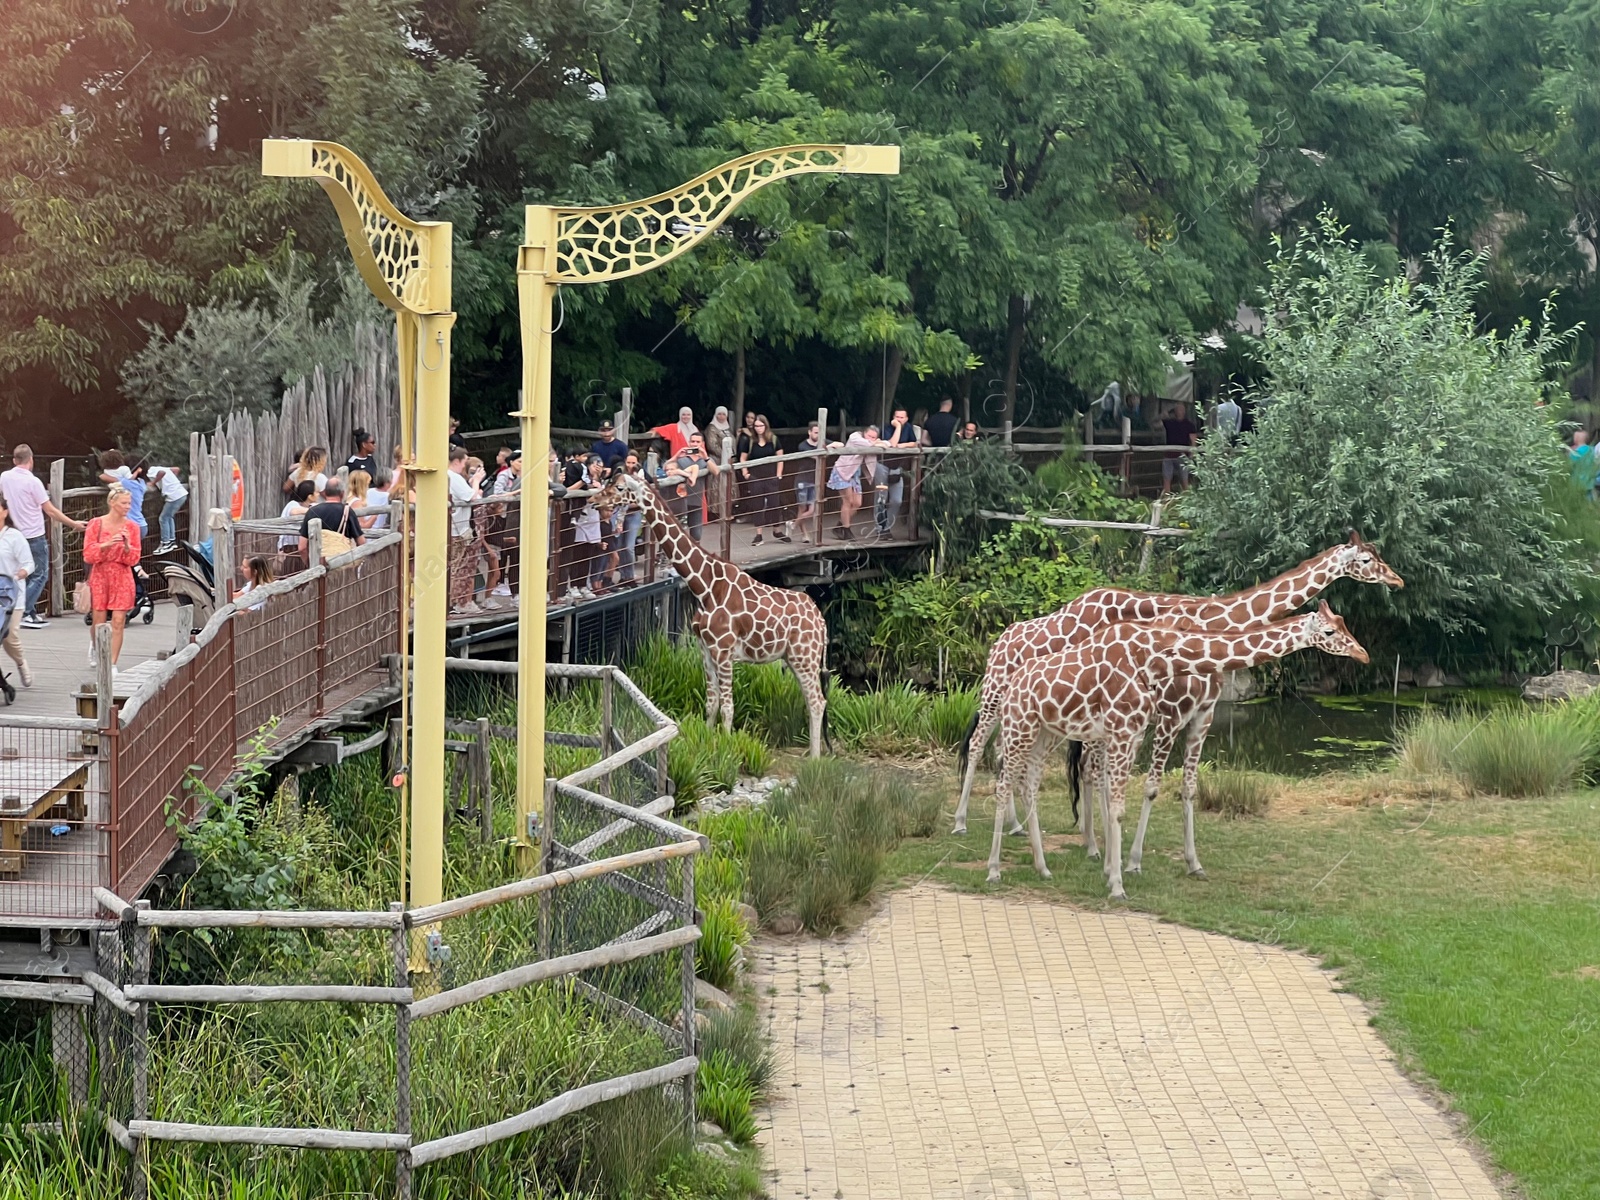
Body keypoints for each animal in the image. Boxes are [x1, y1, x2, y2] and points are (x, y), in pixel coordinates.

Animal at [604, 473, 832, 755]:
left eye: (619, 488)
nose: (596, 500)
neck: (704, 586)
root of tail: (821, 621)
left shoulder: (724, 651)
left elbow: (727, 706)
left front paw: (727, 748)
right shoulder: (706, 648)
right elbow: (711, 703)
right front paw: (710, 745)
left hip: (804, 656)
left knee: (817, 701)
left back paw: (815, 758)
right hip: (794, 657)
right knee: (812, 699)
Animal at [947, 534, 1401, 838]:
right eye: (1367, 559)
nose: (1397, 581)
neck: (1209, 619)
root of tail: (1000, 639)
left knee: (1006, 751)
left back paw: (1017, 826)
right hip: (999, 696)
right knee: (980, 744)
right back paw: (963, 821)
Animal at [992, 604, 1369, 896]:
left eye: (1345, 624)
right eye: (1330, 632)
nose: (1362, 654)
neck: (1156, 656)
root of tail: (1013, 681)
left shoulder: (1181, 721)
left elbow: (1181, 790)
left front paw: (1188, 864)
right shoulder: (1156, 721)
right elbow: (1139, 795)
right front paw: (1124, 874)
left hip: (1048, 734)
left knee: (1037, 783)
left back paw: (1049, 864)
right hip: (1020, 727)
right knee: (1004, 779)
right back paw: (996, 867)